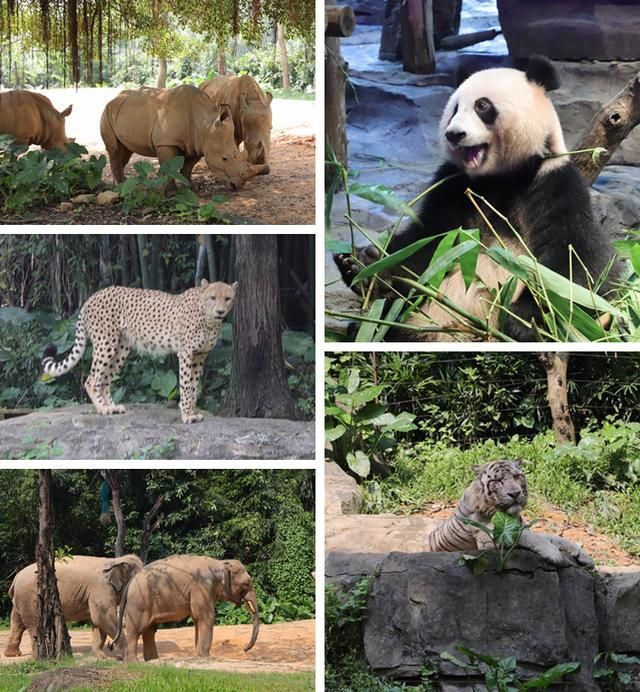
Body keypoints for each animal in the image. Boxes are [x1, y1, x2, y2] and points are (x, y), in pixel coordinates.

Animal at [4, 556, 142, 656]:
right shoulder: (101, 588)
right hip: (29, 597)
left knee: (17, 623)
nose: (110, 646)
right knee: (34, 624)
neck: (116, 560)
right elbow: (102, 617)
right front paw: (126, 653)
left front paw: (99, 656)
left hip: (21, 599)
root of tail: (16, 578)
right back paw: (40, 656)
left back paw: (13, 654)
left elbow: (98, 621)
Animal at [42, 280, 238, 422]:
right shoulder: (186, 354)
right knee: (92, 379)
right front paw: (187, 414)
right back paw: (102, 408)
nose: (221, 311)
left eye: (227, 298)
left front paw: (191, 410)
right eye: (213, 297)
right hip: (106, 344)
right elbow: (185, 384)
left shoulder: (199, 356)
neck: (209, 320)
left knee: (104, 380)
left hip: (120, 349)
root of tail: (93, 295)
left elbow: (194, 385)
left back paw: (112, 407)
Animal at [111, 556, 258, 664]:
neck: (219, 563)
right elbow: (207, 616)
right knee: (137, 629)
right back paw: (134, 662)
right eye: (246, 584)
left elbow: (197, 619)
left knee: (150, 630)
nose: (244, 649)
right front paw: (207, 657)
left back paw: (153, 660)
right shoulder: (202, 586)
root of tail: (131, 581)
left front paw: (200, 655)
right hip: (139, 602)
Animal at [338, 54, 616, 340]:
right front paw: (364, 266)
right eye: (455, 108)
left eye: (482, 106)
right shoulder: (453, 185)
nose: (454, 134)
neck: (498, 177)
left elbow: (576, 261)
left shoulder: (553, 181)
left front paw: (522, 321)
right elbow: (426, 242)